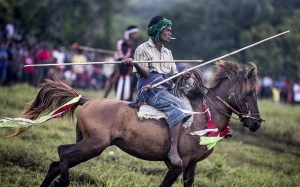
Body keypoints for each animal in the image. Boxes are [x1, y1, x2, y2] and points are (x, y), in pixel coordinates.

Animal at [15, 60, 262, 186]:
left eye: (257, 92)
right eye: (249, 93)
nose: (256, 123)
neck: (201, 116)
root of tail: (88, 100)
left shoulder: (191, 166)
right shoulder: (177, 165)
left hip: (87, 143)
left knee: (55, 164)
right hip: (94, 144)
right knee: (62, 152)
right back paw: (63, 182)